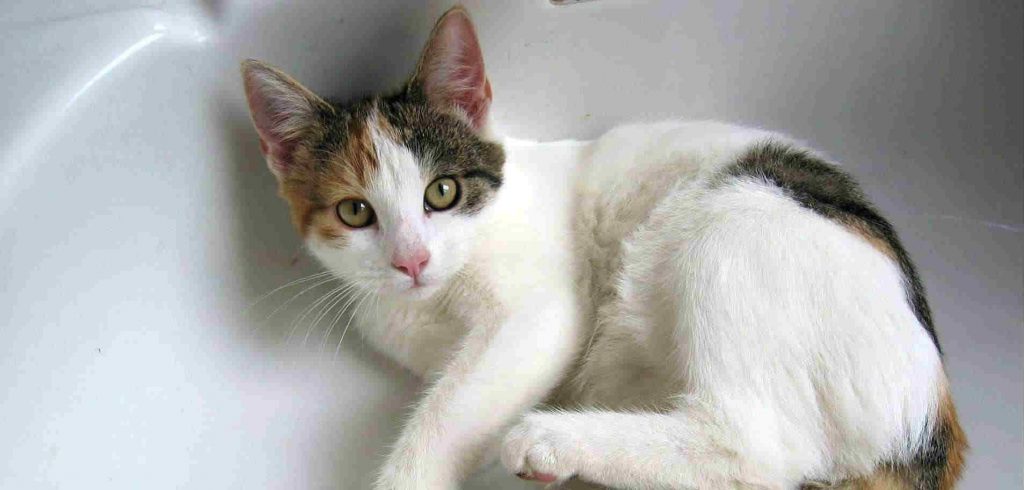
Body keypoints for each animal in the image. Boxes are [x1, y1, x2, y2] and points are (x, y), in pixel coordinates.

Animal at [241, 5, 966, 488]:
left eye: (441, 192)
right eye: (355, 211)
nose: (412, 260)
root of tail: (932, 417)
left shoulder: (539, 314)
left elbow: (451, 408)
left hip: (737, 220)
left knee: (754, 450)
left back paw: (550, 440)